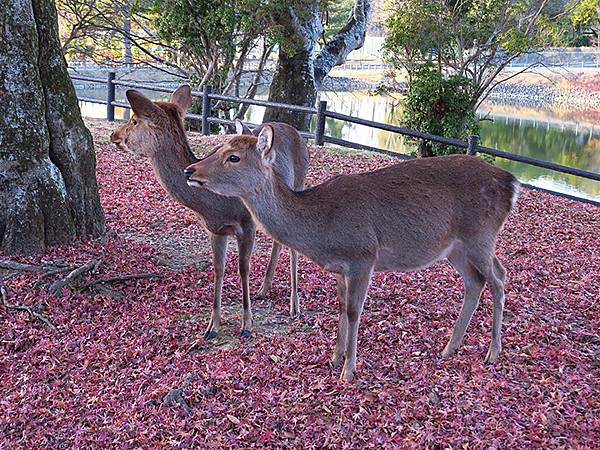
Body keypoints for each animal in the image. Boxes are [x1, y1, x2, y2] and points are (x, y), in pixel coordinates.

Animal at [110, 87, 310, 338]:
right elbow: (218, 269)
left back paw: (295, 305)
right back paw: (264, 289)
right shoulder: (215, 229)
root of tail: (296, 132)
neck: (218, 205)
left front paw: (246, 325)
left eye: (134, 120)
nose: (114, 135)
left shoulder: (247, 224)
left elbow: (243, 269)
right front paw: (212, 327)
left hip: (299, 183)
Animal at [184, 125, 520, 382]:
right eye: (220, 146)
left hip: (480, 235)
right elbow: (342, 306)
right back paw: (450, 348)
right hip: (456, 247)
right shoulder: (341, 266)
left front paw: (349, 370)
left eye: (234, 157)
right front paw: (335, 357)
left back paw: (492, 353)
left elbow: (355, 310)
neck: (324, 229)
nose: (190, 170)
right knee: (476, 282)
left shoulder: (363, 256)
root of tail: (512, 183)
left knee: (499, 278)